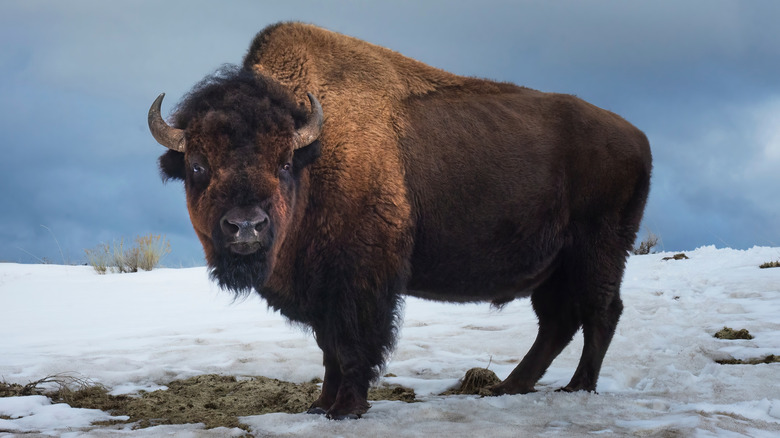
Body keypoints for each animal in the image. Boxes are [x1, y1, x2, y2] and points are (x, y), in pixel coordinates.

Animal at [148, 22, 651, 420]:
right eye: (198, 165)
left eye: (285, 162)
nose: (246, 227)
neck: (318, 152)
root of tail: (637, 138)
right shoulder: (324, 290)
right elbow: (328, 348)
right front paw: (319, 406)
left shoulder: (359, 280)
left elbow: (352, 345)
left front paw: (346, 410)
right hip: (554, 268)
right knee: (558, 322)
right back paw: (511, 387)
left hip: (598, 252)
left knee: (600, 312)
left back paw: (577, 386)